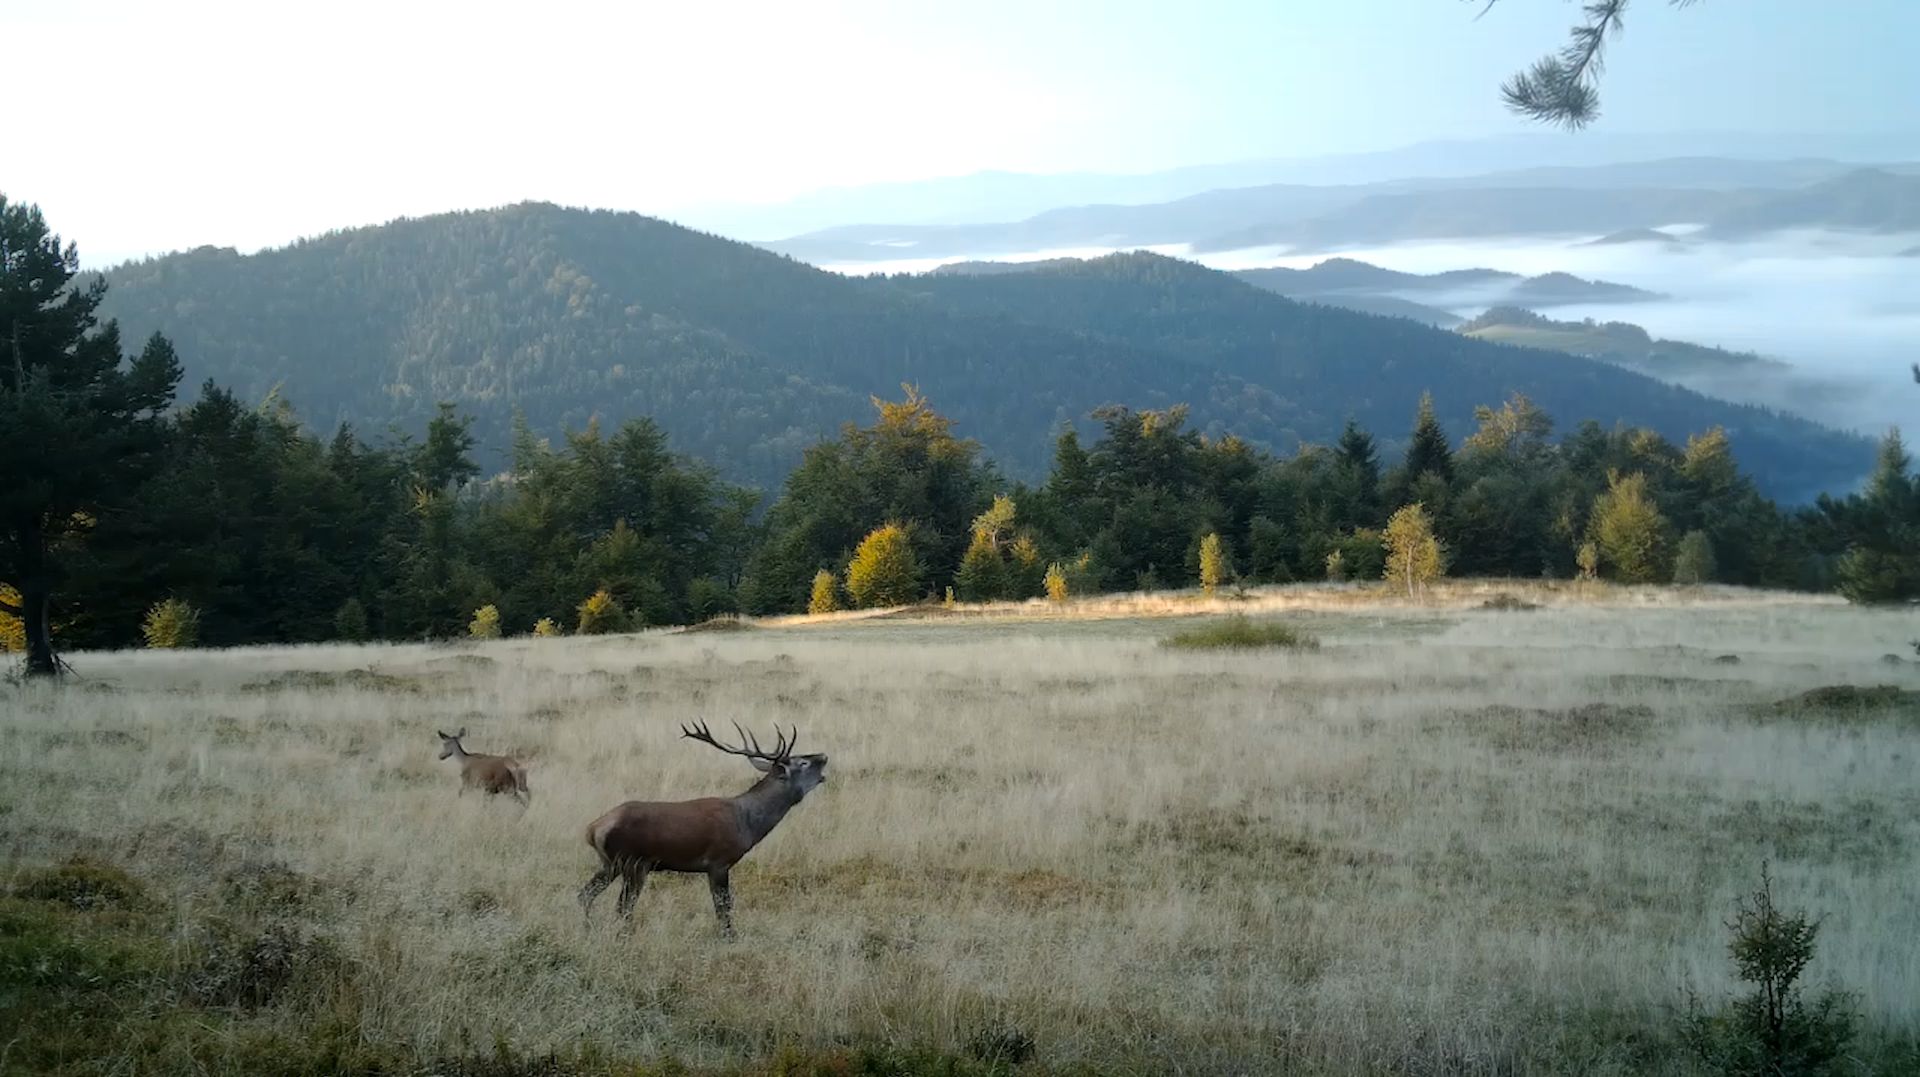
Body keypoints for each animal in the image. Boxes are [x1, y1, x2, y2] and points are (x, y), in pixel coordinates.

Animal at [579, 718, 829, 936]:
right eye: (803, 762)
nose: (824, 755)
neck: (747, 824)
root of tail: (593, 829)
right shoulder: (719, 862)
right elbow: (724, 907)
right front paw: (729, 938)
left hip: (611, 863)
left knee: (585, 894)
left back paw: (588, 929)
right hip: (633, 862)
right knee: (622, 906)